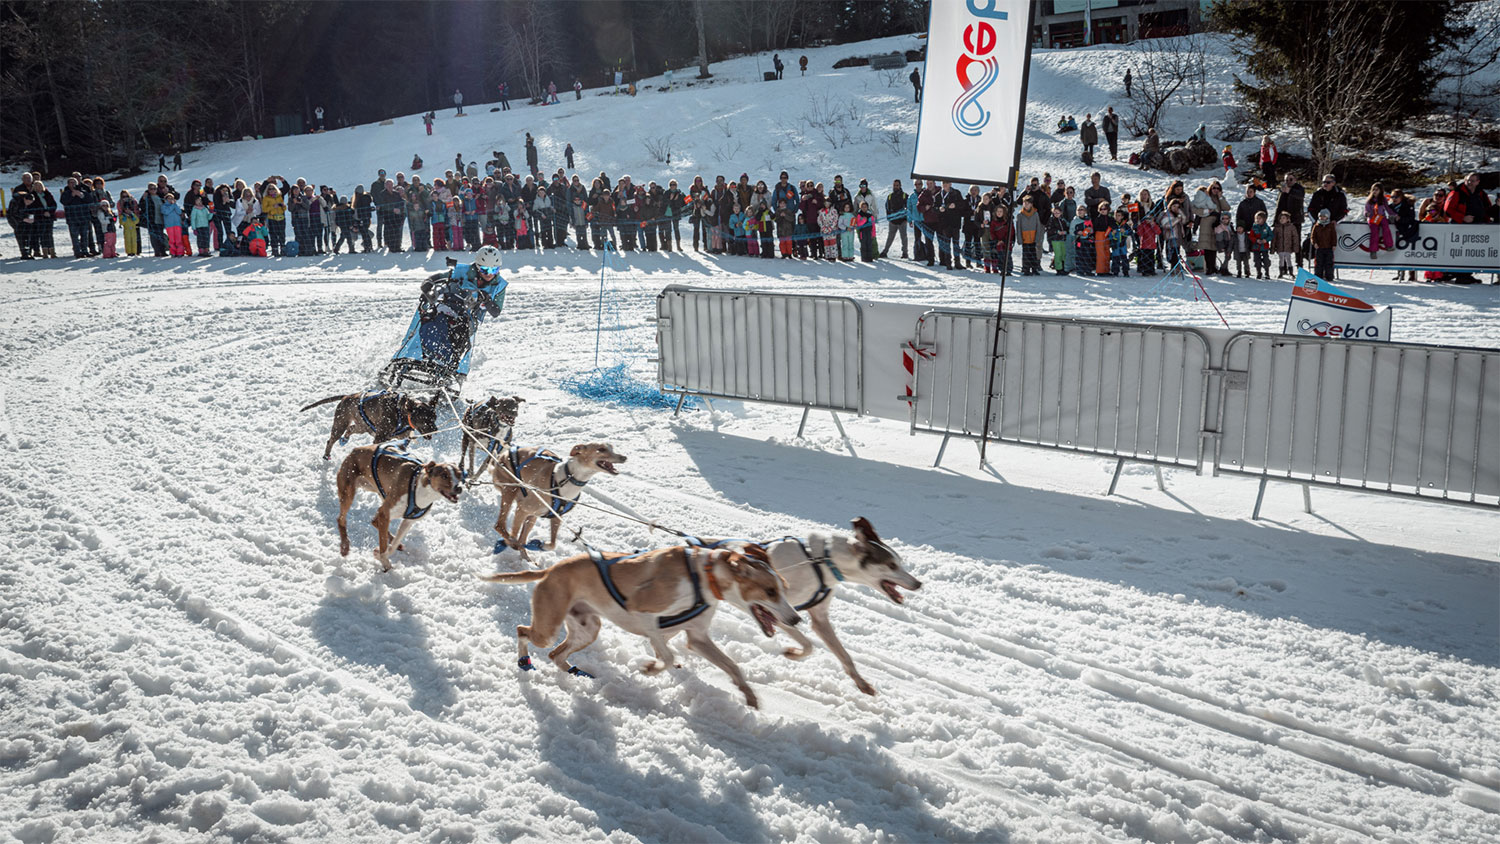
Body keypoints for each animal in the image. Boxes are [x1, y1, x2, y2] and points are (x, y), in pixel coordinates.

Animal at [298, 392, 438, 461]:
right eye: (425, 420)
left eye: (435, 417)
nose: (435, 430)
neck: (401, 412)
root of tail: (346, 397)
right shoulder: (379, 438)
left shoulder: (401, 438)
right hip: (340, 425)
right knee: (331, 440)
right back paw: (327, 455)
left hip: (362, 427)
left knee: (351, 429)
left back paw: (345, 439)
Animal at [334, 446, 462, 572]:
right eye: (444, 475)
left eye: (460, 475)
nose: (459, 488)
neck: (420, 490)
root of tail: (355, 450)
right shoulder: (385, 513)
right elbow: (383, 545)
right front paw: (385, 563)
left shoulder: (408, 521)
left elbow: (393, 545)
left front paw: (381, 554)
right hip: (348, 493)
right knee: (341, 519)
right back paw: (345, 546)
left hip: (381, 494)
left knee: (375, 521)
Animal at [483, 542, 810, 707]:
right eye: (770, 591)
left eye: (783, 587)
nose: (795, 618)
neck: (704, 577)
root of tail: (550, 570)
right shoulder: (644, 614)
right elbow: (665, 652)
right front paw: (652, 668)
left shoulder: (697, 636)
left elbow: (732, 666)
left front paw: (749, 695)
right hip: (548, 628)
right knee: (523, 632)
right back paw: (524, 661)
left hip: (588, 628)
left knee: (556, 655)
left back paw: (577, 672)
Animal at [489, 443, 624, 560]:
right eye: (601, 449)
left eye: (611, 447)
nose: (624, 457)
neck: (567, 479)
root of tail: (504, 453)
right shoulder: (522, 509)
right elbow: (513, 536)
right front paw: (510, 543)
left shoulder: (556, 516)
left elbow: (553, 544)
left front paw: (540, 545)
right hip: (510, 490)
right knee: (500, 526)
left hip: (532, 516)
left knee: (521, 539)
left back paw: (527, 558)